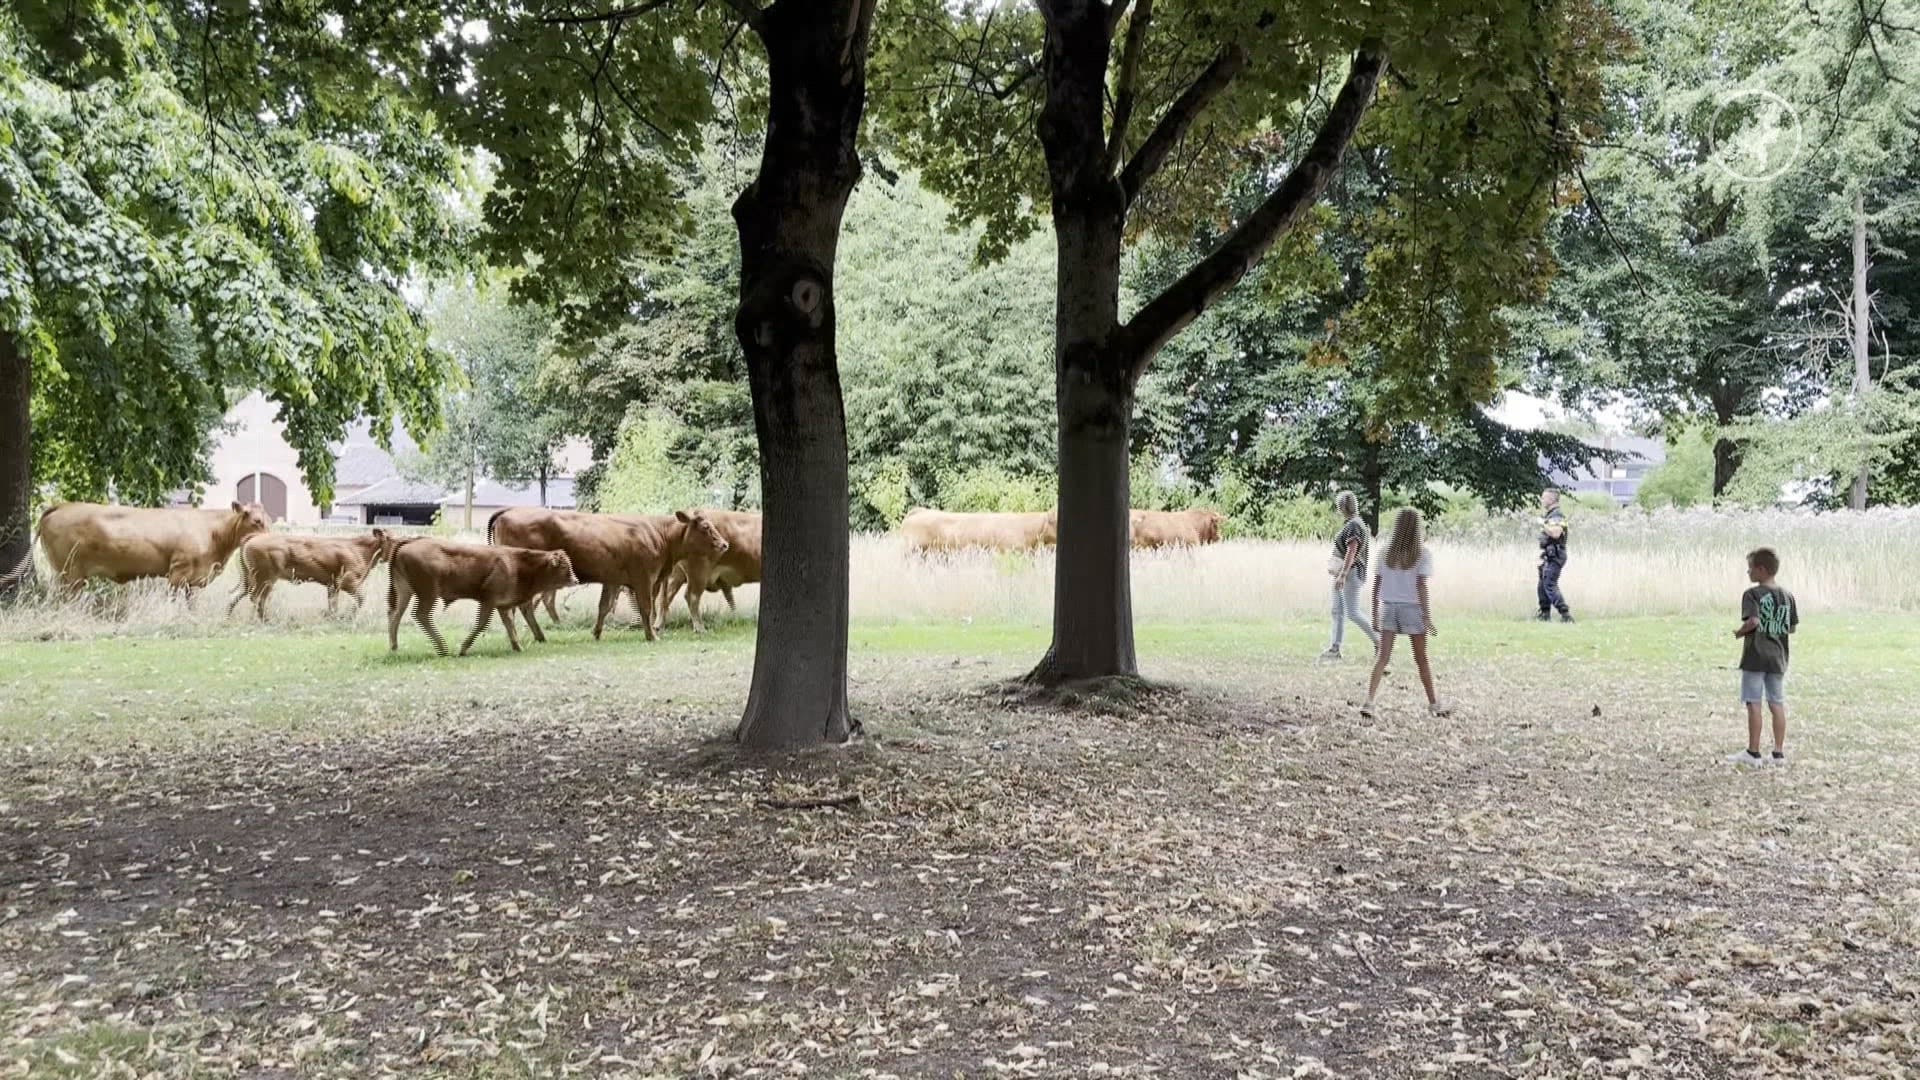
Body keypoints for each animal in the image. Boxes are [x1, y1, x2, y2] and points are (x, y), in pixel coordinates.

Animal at [36, 501, 272, 596]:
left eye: (267, 518)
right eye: (256, 521)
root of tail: (62, 505)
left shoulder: (193, 580)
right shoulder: (178, 573)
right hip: (70, 573)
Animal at [226, 531, 388, 620]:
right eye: (391, 539)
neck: (358, 548)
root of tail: (255, 537)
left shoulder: (332, 586)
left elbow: (333, 604)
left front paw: (334, 618)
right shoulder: (347, 582)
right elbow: (361, 598)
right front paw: (347, 617)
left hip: (254, 580)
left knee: (241, 596)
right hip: (265, 579)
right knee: (257, 598)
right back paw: (262, 620)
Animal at [383, 534, 577, 656]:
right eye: (564, 566)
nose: (575, 580)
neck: (517, 564)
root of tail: (409, 542)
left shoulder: (503, 605)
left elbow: (509, 625)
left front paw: (517, 647)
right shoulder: (488, 601)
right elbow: (482, 624)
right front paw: (463, 649)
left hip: (405, 592)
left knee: (395, 615)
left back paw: (394, 648)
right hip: (428, 594)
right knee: (421, 615)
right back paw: (443, 648)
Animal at [486, 507, 729, 641]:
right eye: (706, 527)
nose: (725, 545)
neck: (659, 534)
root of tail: (510, 510)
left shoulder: (613, 579)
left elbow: (604, 606)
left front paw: (596, 633)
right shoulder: (644, 578)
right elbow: (646, 607)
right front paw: (652, 635)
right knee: (520, 607)